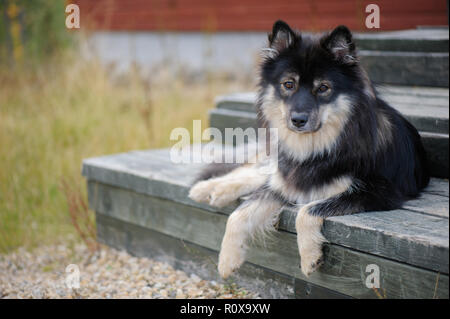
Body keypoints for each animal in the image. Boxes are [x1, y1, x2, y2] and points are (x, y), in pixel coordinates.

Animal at [187, 21, 428, 278]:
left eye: (323, 88)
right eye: (288, 84)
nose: (298, 120)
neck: (317, 148)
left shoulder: (378, 191)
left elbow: (306, 211)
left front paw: (310, 257)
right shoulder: (285, 183)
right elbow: (239, 213)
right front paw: (227, 260)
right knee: (251, 171)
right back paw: (208, 188)